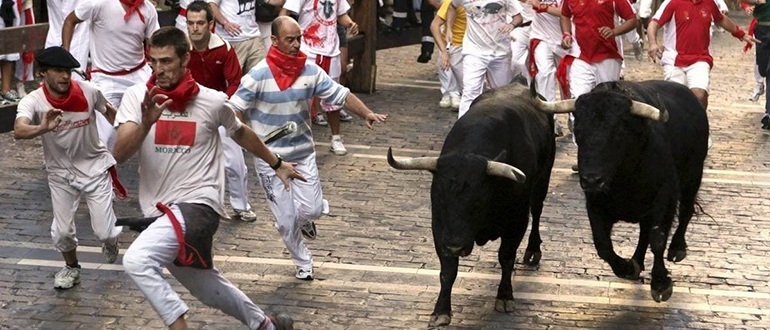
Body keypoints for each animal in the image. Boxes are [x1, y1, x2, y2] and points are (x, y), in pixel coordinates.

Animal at [388, 83, 556, 328]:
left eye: (478, 202)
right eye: (440, 199)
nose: (455, 246)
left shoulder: (517, 221)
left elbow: (506, 257)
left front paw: (505, 296)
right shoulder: (440, 227)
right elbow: (448, 270)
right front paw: (440, 311)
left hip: (542, 182)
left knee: (538, 210)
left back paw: (533, 250)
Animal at [564, 80, 708, 302]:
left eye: (618, 132)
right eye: (578, 131)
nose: (591, 180)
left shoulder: (665, 197)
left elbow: (657, 239)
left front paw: (661, 283)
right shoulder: (595, 204)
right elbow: (603, 245)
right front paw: (626, 268)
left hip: (693, 176)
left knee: (686, 211)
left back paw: (677, 248)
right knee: (644, 231)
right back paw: (636, 261)